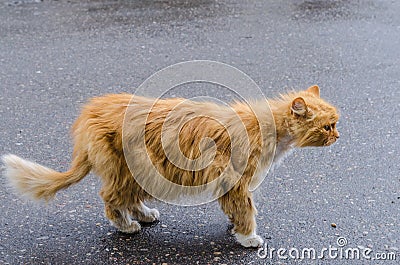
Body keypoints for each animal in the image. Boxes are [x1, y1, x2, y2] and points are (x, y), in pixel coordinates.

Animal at [1, 85, 340, 248]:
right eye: (328, 126)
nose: (339, 136)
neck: (273, 131)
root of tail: (90, 112)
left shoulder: (230, 184)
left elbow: (237, 208)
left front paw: (234, 226)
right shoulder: (235, 179)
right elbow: (246, 210)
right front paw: (247, 237)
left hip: (140, 172)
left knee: (128, 198)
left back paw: (144, 214)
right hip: (130, 169)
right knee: (110, 199)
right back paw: (127, 225)